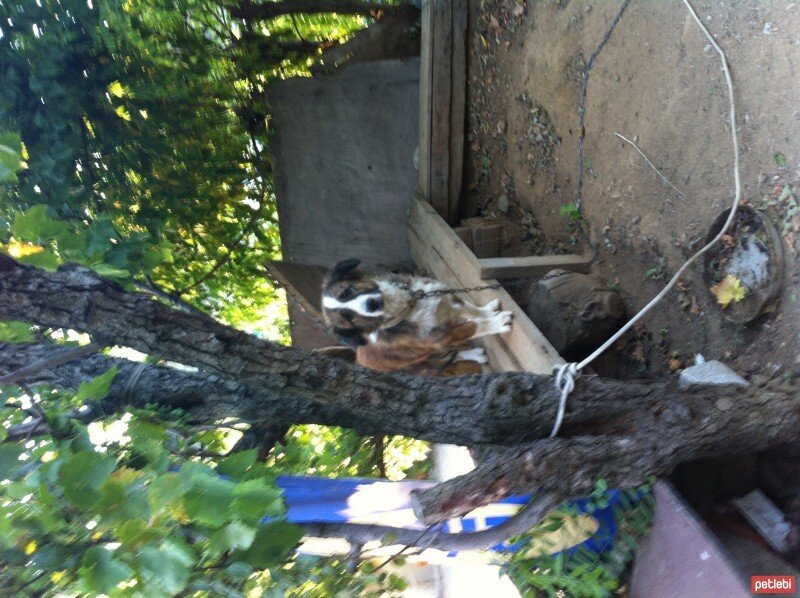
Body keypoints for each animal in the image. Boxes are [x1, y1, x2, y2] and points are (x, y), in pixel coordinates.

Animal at [320, 258, 512, 380]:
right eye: (349, 318)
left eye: (348, 291)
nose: (371, 304)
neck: (407, 307)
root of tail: (357, 361)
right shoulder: (443, 337)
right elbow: (475, 325)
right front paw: (497, 322)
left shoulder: (445, 297)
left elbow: (472, 311)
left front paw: (488, 310)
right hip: (424, 364)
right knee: (450, 359)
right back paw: (475, 354)